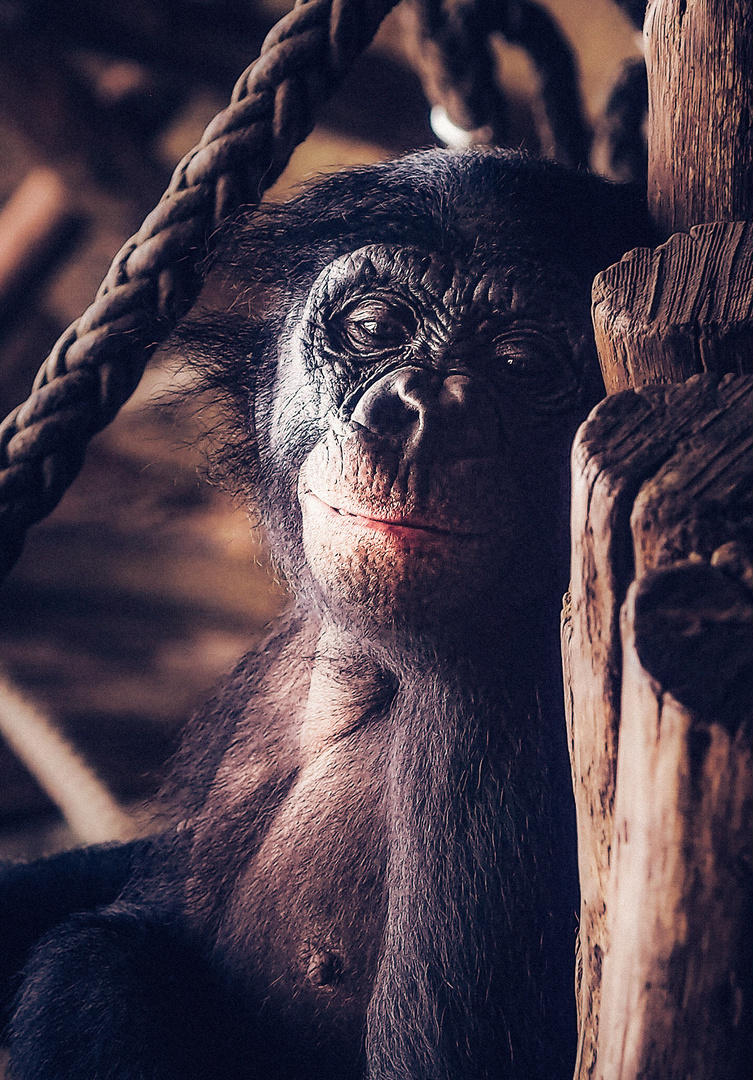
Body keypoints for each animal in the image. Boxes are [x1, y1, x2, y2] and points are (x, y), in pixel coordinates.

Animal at [0, 150, 652, 1080]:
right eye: (376, 327)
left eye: (523, 364)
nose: (422, 409)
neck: (370, 673)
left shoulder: (493, 724)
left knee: (95, 966)